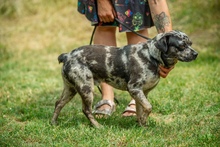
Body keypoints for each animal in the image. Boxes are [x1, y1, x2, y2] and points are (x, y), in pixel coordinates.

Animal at [51, 30, 198, 127]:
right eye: (182, 46)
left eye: (190, 43)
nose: (196, 54)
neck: (151, 56)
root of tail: (67, 56)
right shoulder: (134, 89)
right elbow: (148, 107)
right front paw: (144, 121)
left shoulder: (142, 93)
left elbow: (140, 109)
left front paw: (142, 125)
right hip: (86, 89)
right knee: (86, 110)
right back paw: (97, 125)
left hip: (70, 89)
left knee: (58, 103)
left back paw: (53, 122)